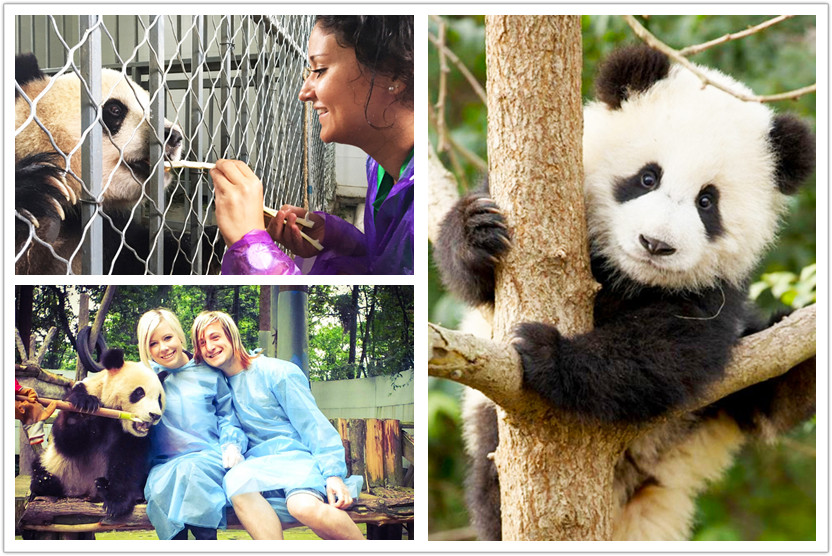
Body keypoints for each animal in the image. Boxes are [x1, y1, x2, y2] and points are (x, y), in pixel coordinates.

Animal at [31, 350, 167, 520]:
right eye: (139, 392)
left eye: (159, 399)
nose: (155, 415)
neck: (114, 416)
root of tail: (83, 492)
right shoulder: (84, 391)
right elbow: (67, 441)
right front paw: (85, 406)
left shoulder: (132, 437)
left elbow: (128, 461)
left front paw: (116, 502)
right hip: (55, 465)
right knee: (39, 468)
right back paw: (46, 482)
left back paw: (108, 487)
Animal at [436, 45, 820, 540]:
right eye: (647, 178)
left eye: (707, 201)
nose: (656, 244)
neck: (626, 276)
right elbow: (475, 281)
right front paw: (477, 231)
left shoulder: (716, 294)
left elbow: (667, 352)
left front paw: (550, 355)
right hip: (488, 422)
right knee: (491, 484)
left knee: (773, 397)